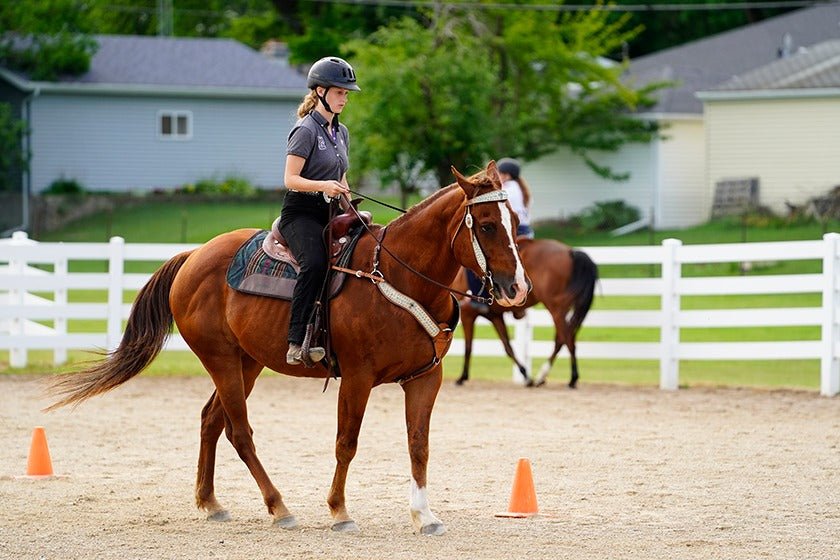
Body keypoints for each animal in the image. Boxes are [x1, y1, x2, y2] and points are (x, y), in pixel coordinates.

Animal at [45, 161, 530, 536]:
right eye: (488, 226)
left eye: (512, 224)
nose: (517, 289)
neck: (396, 275)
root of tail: (193, 255)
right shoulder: (357, 379)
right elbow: (346, 443)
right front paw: (339, 511)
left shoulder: (425, 377)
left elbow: (418, 446)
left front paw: (424, 516)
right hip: (221, 360)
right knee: (239, 432)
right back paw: (279, 507)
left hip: (248, 363)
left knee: (210, 421)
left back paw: (211, 503)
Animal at [455, 238, 597, 388]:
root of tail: (570, 252)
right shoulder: (495, 316)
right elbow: (508, 347)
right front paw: (525, 375)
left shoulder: (467, 315)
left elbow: (468, 347)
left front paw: (462, 377)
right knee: (562, 339)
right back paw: (542, 377)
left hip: (556, 309)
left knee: (567, 339)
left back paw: (571, 378)